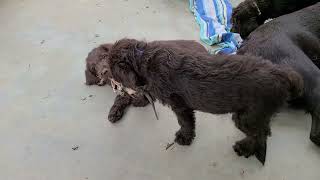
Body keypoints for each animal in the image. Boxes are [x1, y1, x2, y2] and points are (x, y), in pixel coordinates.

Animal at [109, 38, 304, 165]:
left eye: (113, 69)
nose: (111, 78)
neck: (143, 57)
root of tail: (283, 75)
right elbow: (146, 91)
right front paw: (138, 99)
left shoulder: (180, 105)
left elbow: (185, 122)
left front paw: (184, 138)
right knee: (264, 130)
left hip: (247, 117)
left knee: (258, 134)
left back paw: (245, 148)